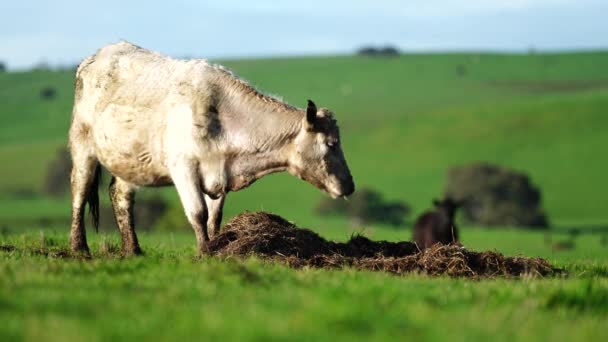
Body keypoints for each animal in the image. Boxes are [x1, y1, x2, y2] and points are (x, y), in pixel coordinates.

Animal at [70, 41, 356, 255]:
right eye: (331, 144)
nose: (350, 185)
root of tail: (99, 54)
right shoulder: (183, 167)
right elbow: (198, 213)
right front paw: (204, 253)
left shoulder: (219, 172)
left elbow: (213, 218)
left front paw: (217, 250)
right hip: (82, 146)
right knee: (79, 192)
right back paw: (79, 249)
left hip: (130, 160)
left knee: (120, 196)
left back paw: (133, 250)